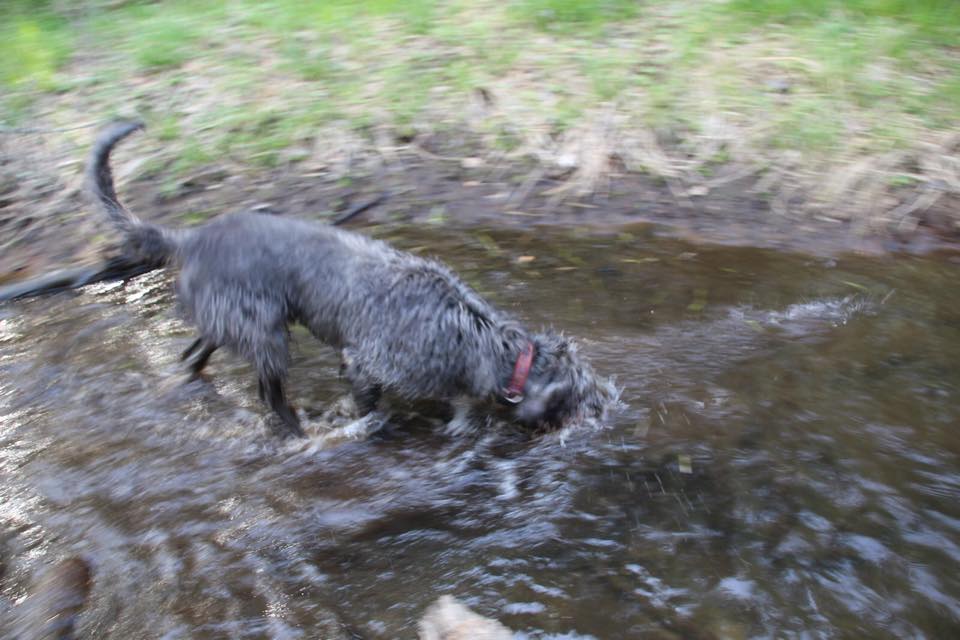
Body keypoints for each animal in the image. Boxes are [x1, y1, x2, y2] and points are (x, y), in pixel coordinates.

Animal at [87, 120, 617, 437]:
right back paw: (296, 431)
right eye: (579, 393)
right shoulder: (366, 362)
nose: (606, 406)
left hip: (232, 322)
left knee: (196, 351)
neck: (477, 337)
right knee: (269, 393)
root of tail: (192, 238)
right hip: (267, 334)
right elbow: (370, 404)